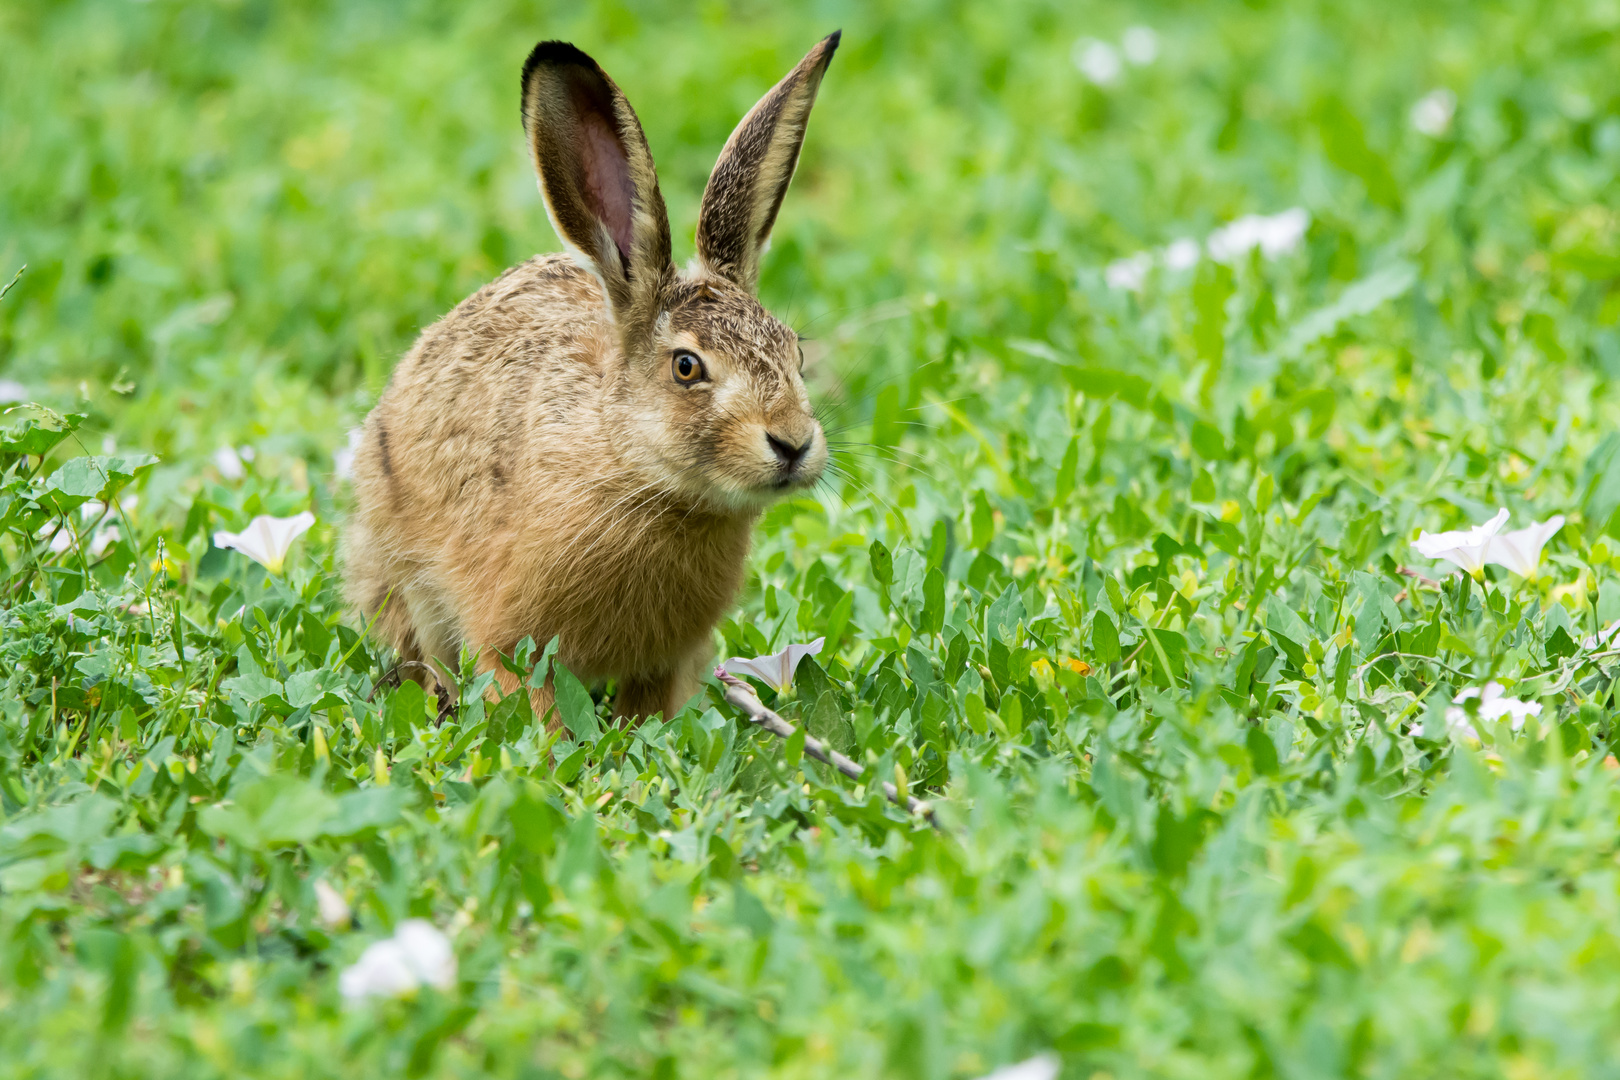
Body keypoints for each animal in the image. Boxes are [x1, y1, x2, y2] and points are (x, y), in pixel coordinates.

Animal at [343, 32, 840, 727]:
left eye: (793, 352)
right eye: (687, 367)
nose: (793, 443)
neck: (636, 471)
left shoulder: (666, 661)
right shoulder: (511, 640)